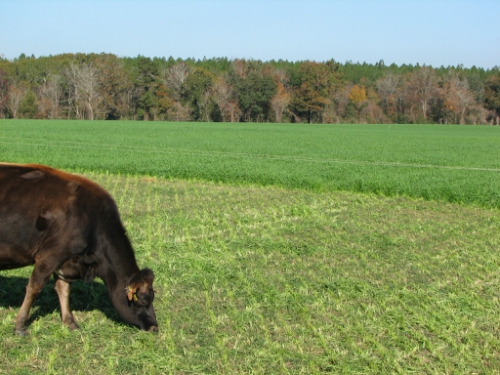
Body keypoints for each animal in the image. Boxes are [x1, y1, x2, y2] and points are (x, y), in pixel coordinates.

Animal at [0, 163, 158, 336]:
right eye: (143, 300)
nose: (154, 327)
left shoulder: (65, 260)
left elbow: (64, 289)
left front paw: (70, 322)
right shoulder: (50, 255)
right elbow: (34, 288)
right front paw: (20, 325)